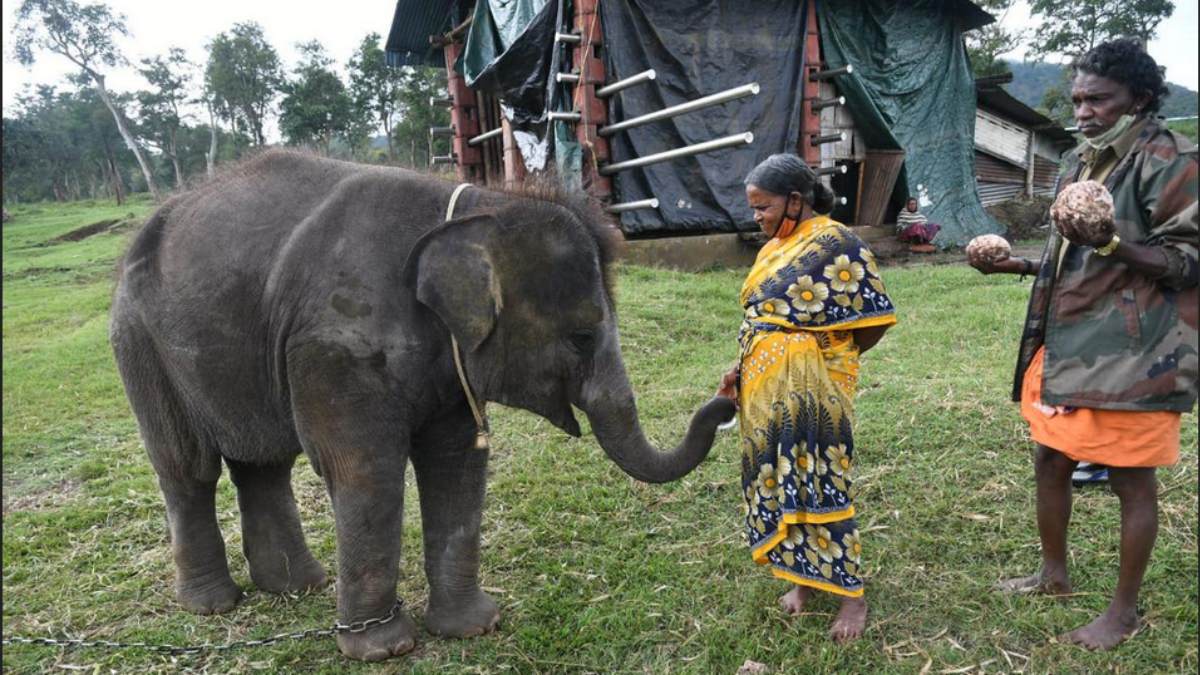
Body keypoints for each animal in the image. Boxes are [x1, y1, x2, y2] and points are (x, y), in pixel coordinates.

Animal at [109, 149, 736, 661]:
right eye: (582, 337)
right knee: (188, 468)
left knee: (263, 464)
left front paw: (474, 628)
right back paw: (213, 605)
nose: (726, 398)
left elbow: (456, 461)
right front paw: (384, 650)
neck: (474, 206)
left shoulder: (447, 363)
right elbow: (367, 470)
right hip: (140, 344)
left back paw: (300, 586)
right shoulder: (336, 346)